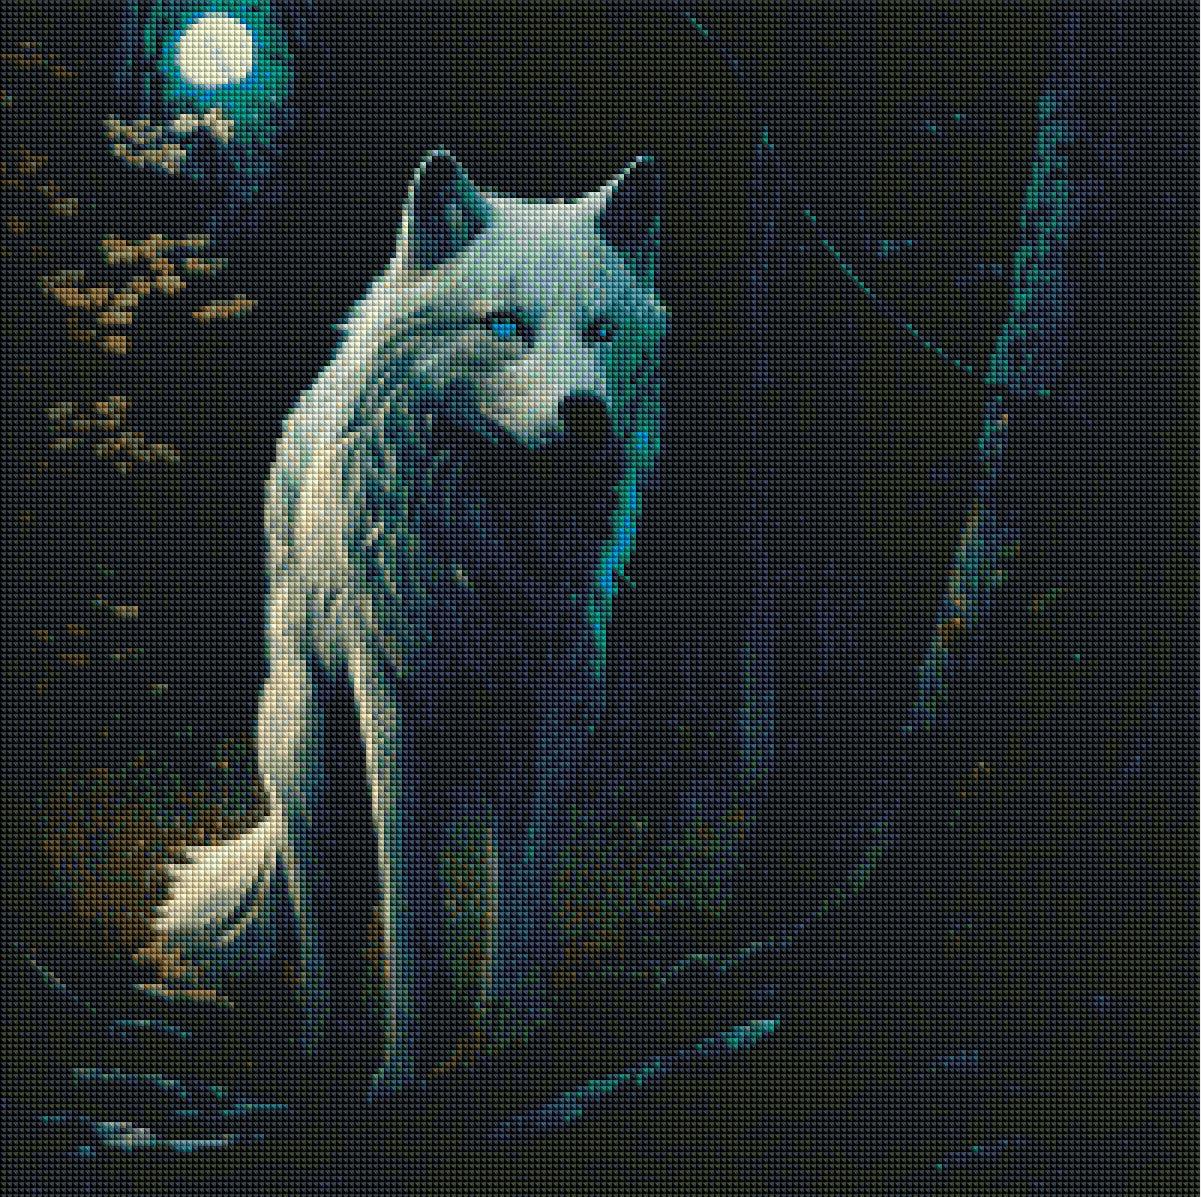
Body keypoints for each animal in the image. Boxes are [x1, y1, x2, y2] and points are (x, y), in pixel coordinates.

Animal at [153, 149, 666, 1097]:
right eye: (504, 325)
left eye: (602, 331)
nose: (583, 411)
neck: (492, 549)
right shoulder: (392, 697)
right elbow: (409, 897)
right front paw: (402, 1068)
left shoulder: (555, 708)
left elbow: (525, 882)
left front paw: (513, 1040)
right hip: (312, 758)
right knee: (320, 904)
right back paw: (323, 1040)